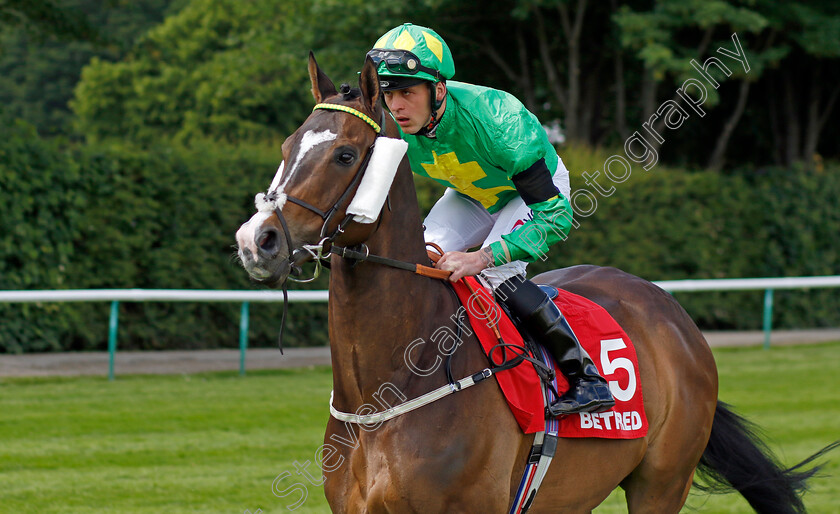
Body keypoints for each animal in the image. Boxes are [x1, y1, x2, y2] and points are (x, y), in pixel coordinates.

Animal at [236, 54, 832, 510]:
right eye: (288, 148)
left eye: (345, 154)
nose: (257, 240)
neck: (381, 400)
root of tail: (672, 314)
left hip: (662, 482)